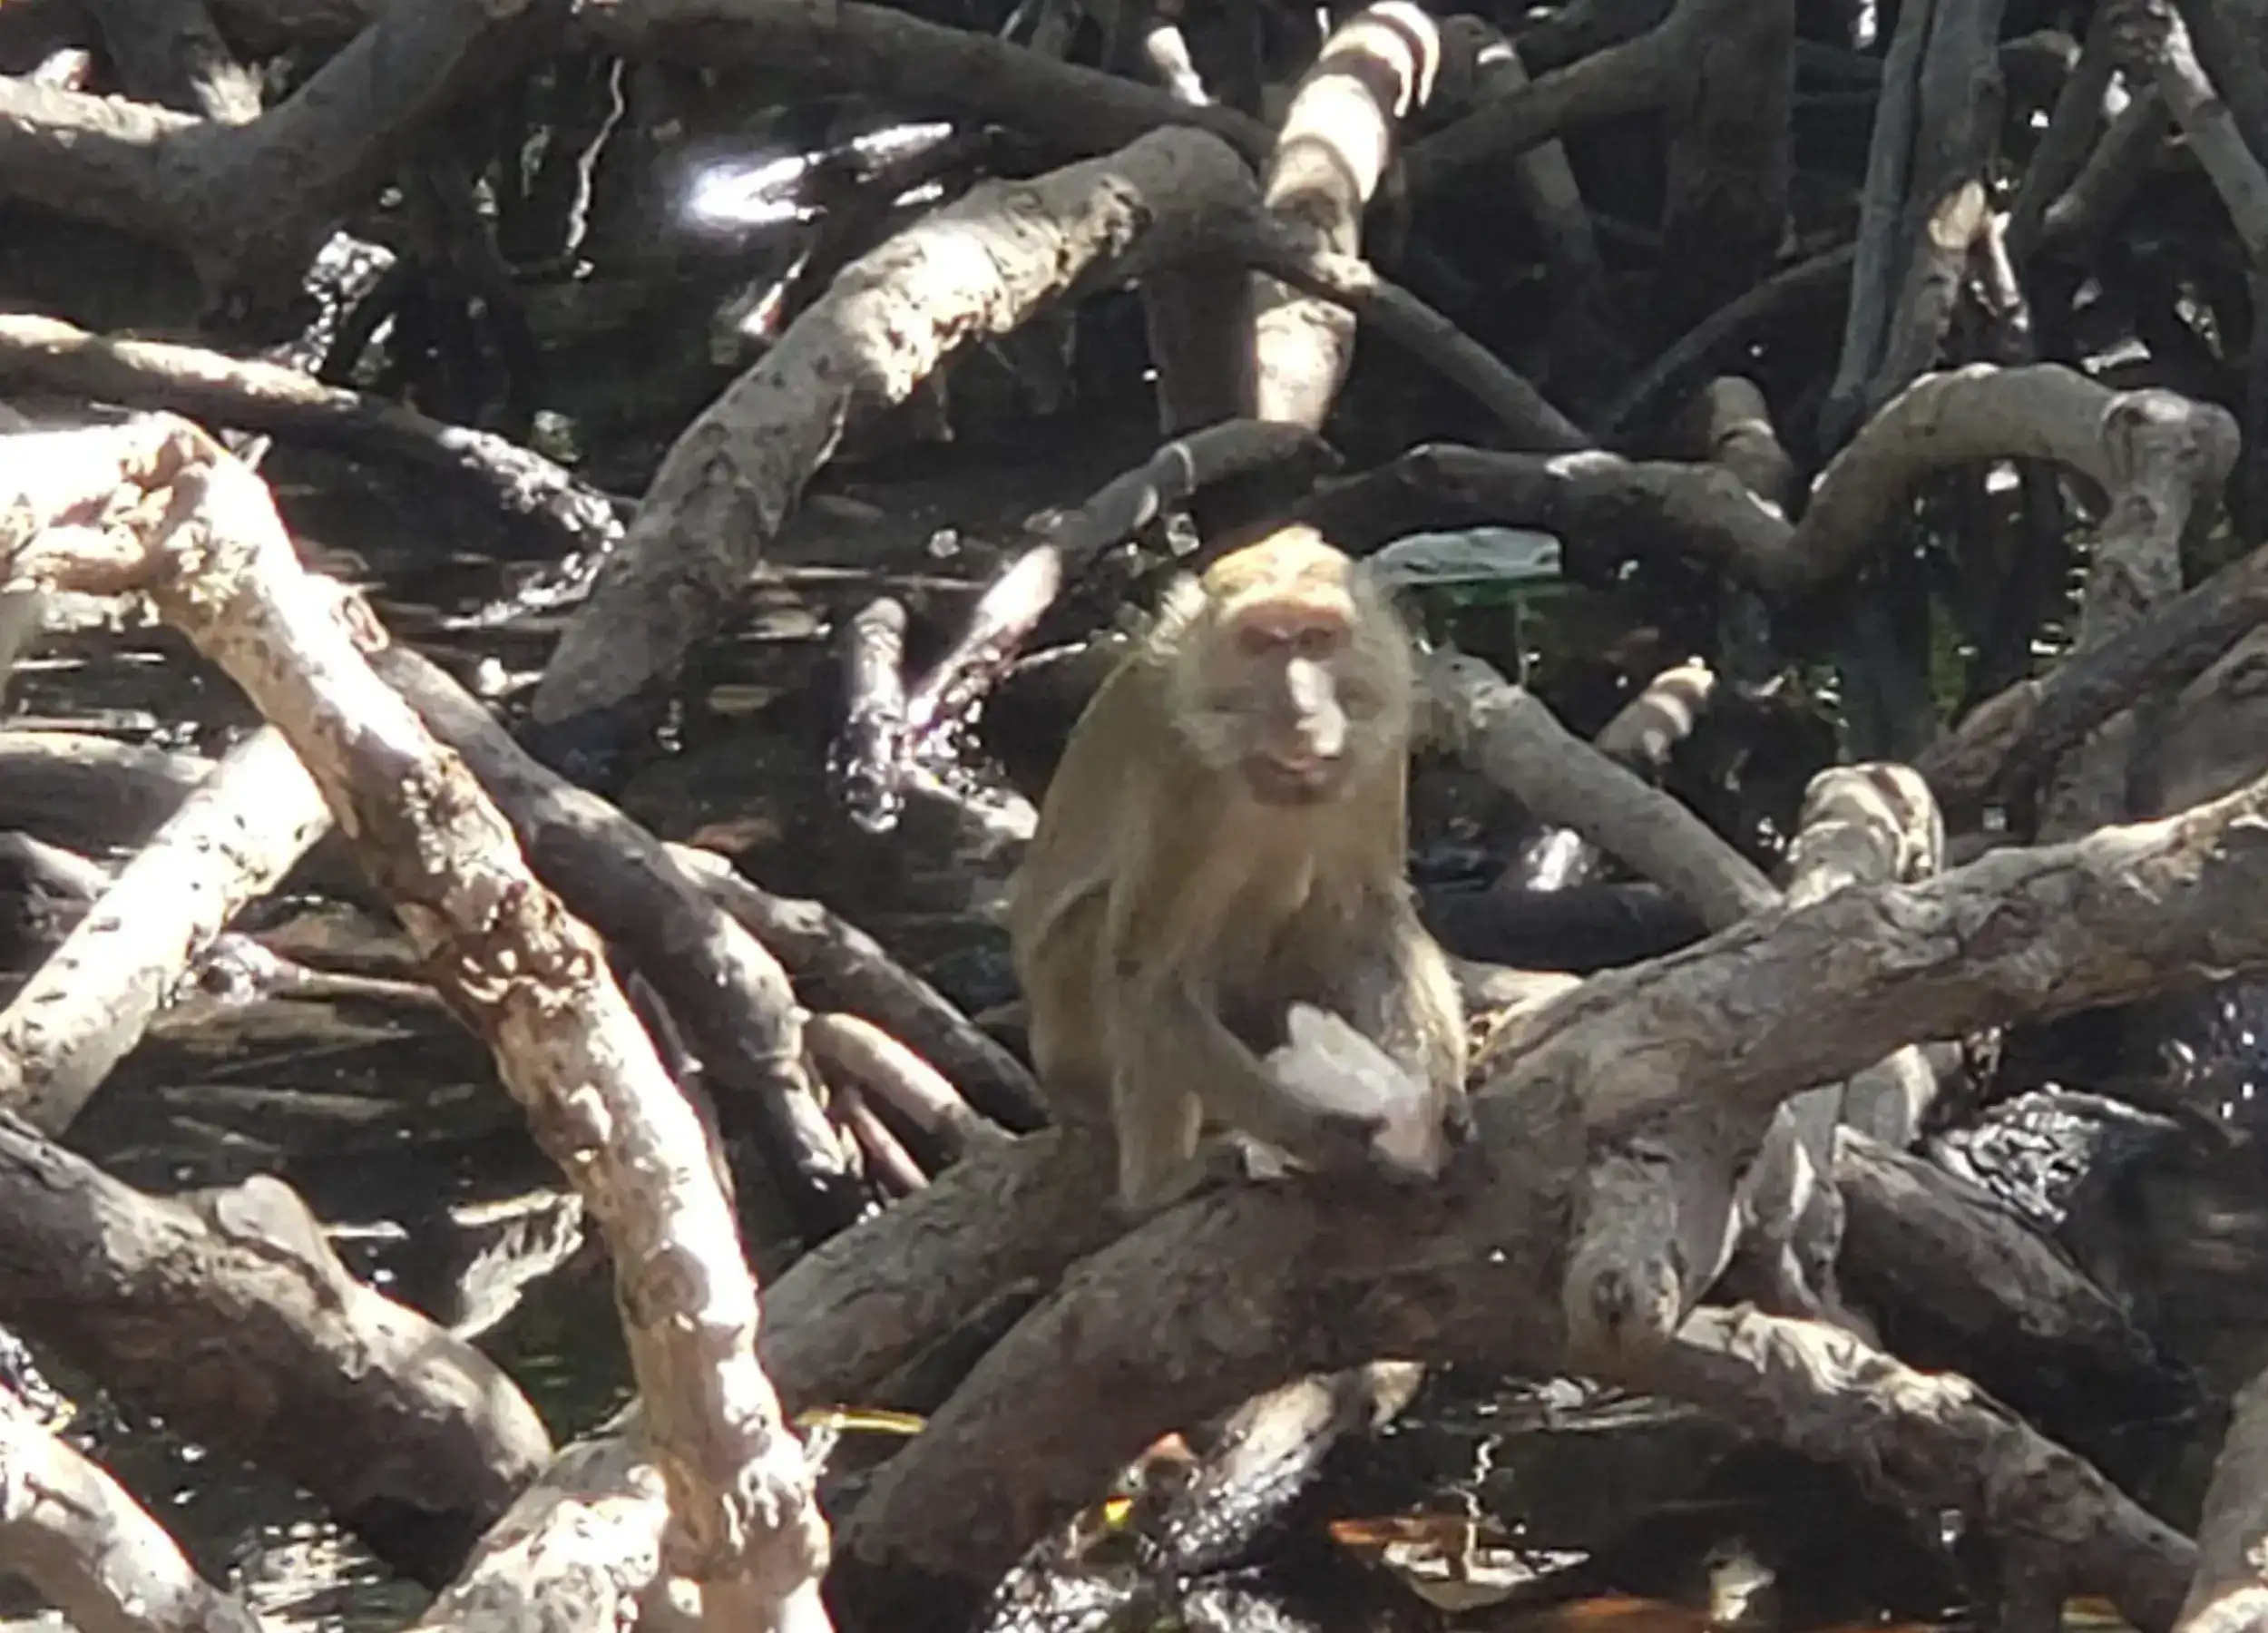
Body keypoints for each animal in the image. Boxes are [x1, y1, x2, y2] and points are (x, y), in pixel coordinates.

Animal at [1005, 524, 1469, 1213]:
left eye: (1316, 639)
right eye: (1261, 642)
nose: (1301, 707)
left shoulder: (1379, 740)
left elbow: (1370, 916)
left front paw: (1437, 1093)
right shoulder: (1181, 766)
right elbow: (1147, 977)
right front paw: (1321, 1135)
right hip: (1066, 1040)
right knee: (1104, 938)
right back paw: (1160, 1186)